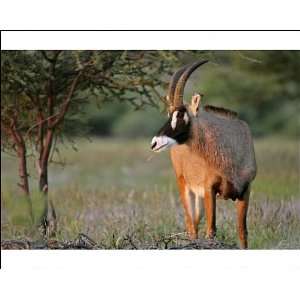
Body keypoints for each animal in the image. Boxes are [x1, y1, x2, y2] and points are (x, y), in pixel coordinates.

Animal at [151, 61, 256, 248]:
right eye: (169, 114)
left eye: (180, 114)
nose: (154, 143)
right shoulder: (209, 189)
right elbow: (211, 230)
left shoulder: (245, 190)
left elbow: (242, 232)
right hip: (185, 187)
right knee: (191, 226)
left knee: (195, 223)